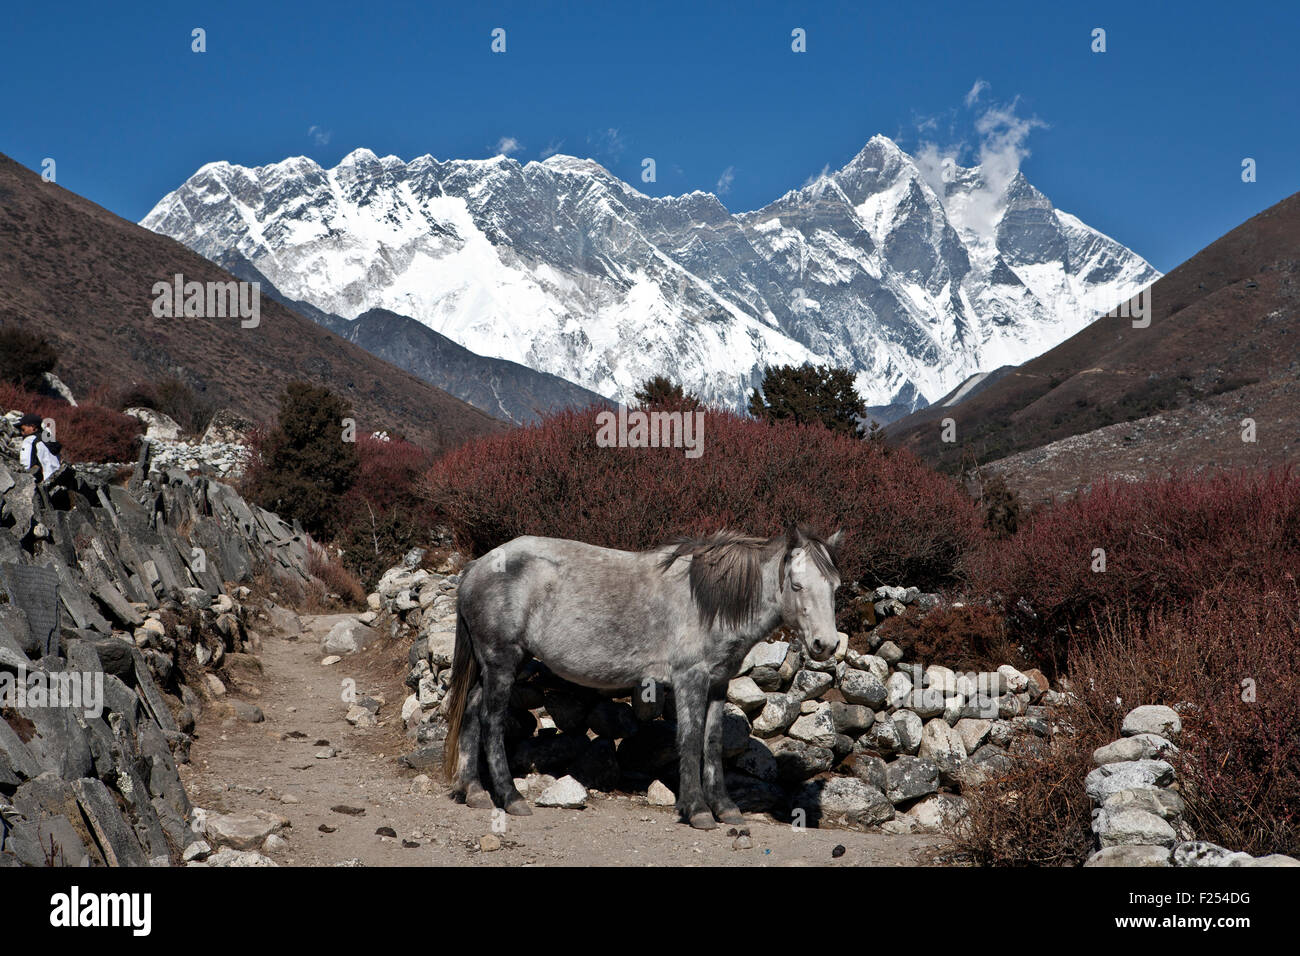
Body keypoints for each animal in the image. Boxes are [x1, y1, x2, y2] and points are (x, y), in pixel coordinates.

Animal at [444, 522, 842, 832]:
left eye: (834, 587)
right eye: (797, 585)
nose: (826, 645)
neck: (709, 601)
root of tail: (479, 565)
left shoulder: (717, 682)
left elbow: (712, 742)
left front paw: (725, 808)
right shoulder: (690, 679)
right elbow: (691, 740)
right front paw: (698, 811)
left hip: (490, 666)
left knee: (471, 714)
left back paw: (475, 792)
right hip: (502, 661)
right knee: (491, 722)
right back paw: (510, 797)